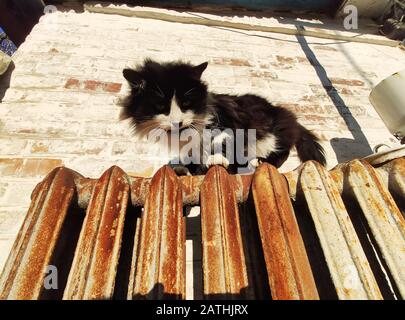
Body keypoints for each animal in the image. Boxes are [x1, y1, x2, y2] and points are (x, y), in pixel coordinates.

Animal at [120, 58, 326, 174]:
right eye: (161, 107)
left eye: (186, 104)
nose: (178, 122)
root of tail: (283, 112)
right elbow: (193, 157)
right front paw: (185, 168)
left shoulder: (227, 123)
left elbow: (221, 141)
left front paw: (217, 159)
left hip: (270, 134)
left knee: (283, 151)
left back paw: (261, 162)